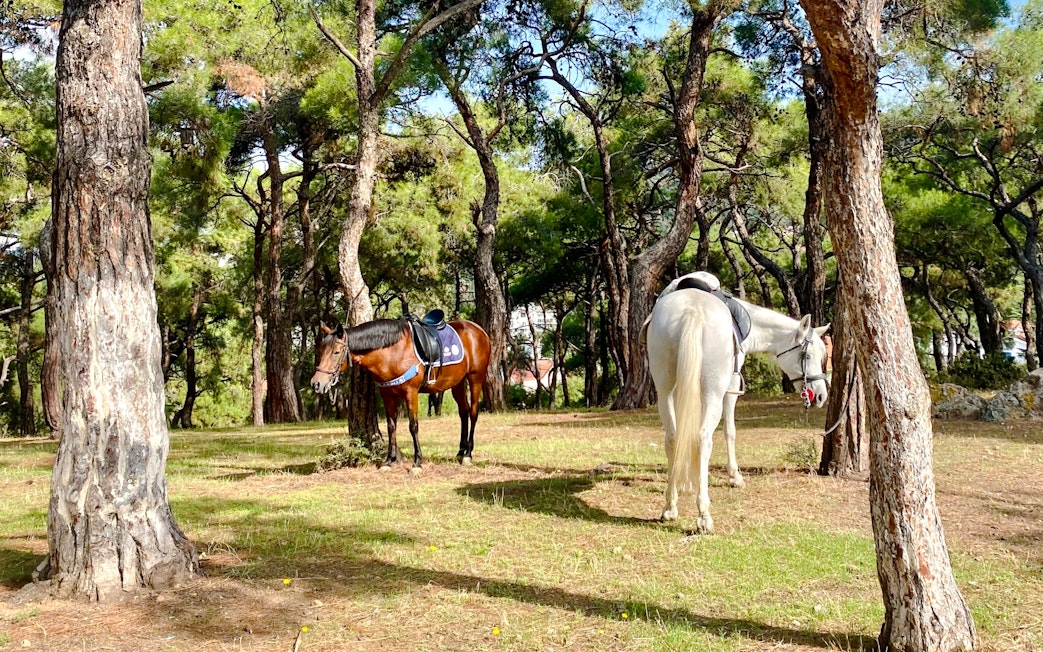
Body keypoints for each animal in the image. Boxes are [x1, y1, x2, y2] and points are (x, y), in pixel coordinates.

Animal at [310, 317, 491, 472]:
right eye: (321, 350)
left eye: (336, 352)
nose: (316, 382)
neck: (393, 352)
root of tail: (479, 330)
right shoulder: (387, 394)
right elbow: (391, 426)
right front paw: (389, 461)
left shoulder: (411, 393)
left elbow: (413, 426)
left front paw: (417, 462)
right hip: (458, 383)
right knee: (463, 413)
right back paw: (461, 451)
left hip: (475, 379)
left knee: (473, 412)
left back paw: (468, 454)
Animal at [645, 287, 830, 534]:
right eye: (807, 355)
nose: (820, 395)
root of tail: (692, 310)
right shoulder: (730, 388)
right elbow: (730, 431)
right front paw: (734, 476)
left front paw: (686, 480)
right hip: (714, 391)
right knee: (703, 438)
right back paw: (704, 515)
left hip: (665, 389)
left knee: (673, 438)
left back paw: (670, 506)